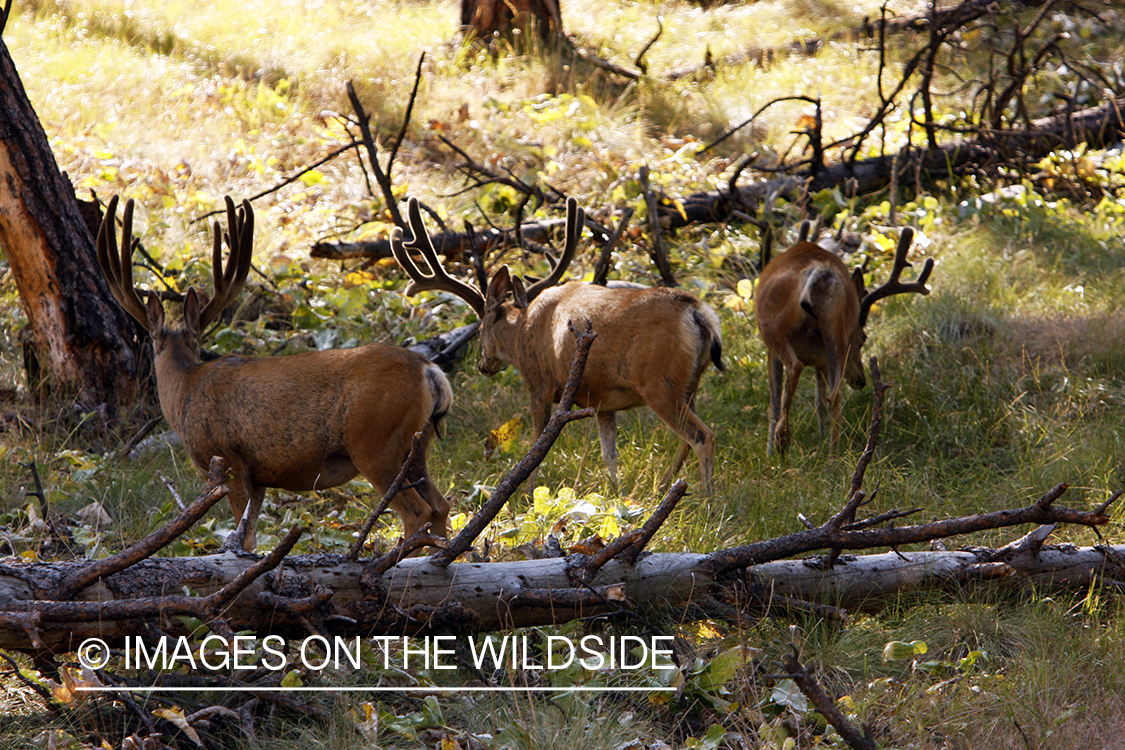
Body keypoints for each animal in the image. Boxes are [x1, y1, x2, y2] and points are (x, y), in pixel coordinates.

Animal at [96, 195, 453, 551]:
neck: (185, 387)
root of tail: (429, 370)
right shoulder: (259, 476)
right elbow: (249, 533)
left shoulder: (227, 459)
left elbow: (243, 536)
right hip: (415, 448)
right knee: (441, 505)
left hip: (375, 443)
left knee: (418, 511)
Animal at [390, 197, 724, 493]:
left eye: (482, 328)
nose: (483, 365)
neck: (522, 331)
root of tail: (698, 312)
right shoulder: (602, 400)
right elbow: (609, 455)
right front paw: (616, 492)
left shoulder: (537, 384)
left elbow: (537, 446)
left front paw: (527, 492)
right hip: (688, 384)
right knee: (688, 438)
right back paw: (667, 486)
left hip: (659, 382)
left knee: (703, 436)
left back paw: (708, 498)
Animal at [755, 226, 933, 455]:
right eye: (862, 337)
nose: (860, 380)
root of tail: (822, 270)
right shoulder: (821, 360)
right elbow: (819, 400)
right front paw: (821, 438)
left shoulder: (772, 352)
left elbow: (774, 401)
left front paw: (769, 450)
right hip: (834, 333)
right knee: (834, 396)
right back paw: (833, 457)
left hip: (773, 328)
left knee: (794, 367)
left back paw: (782, 439)